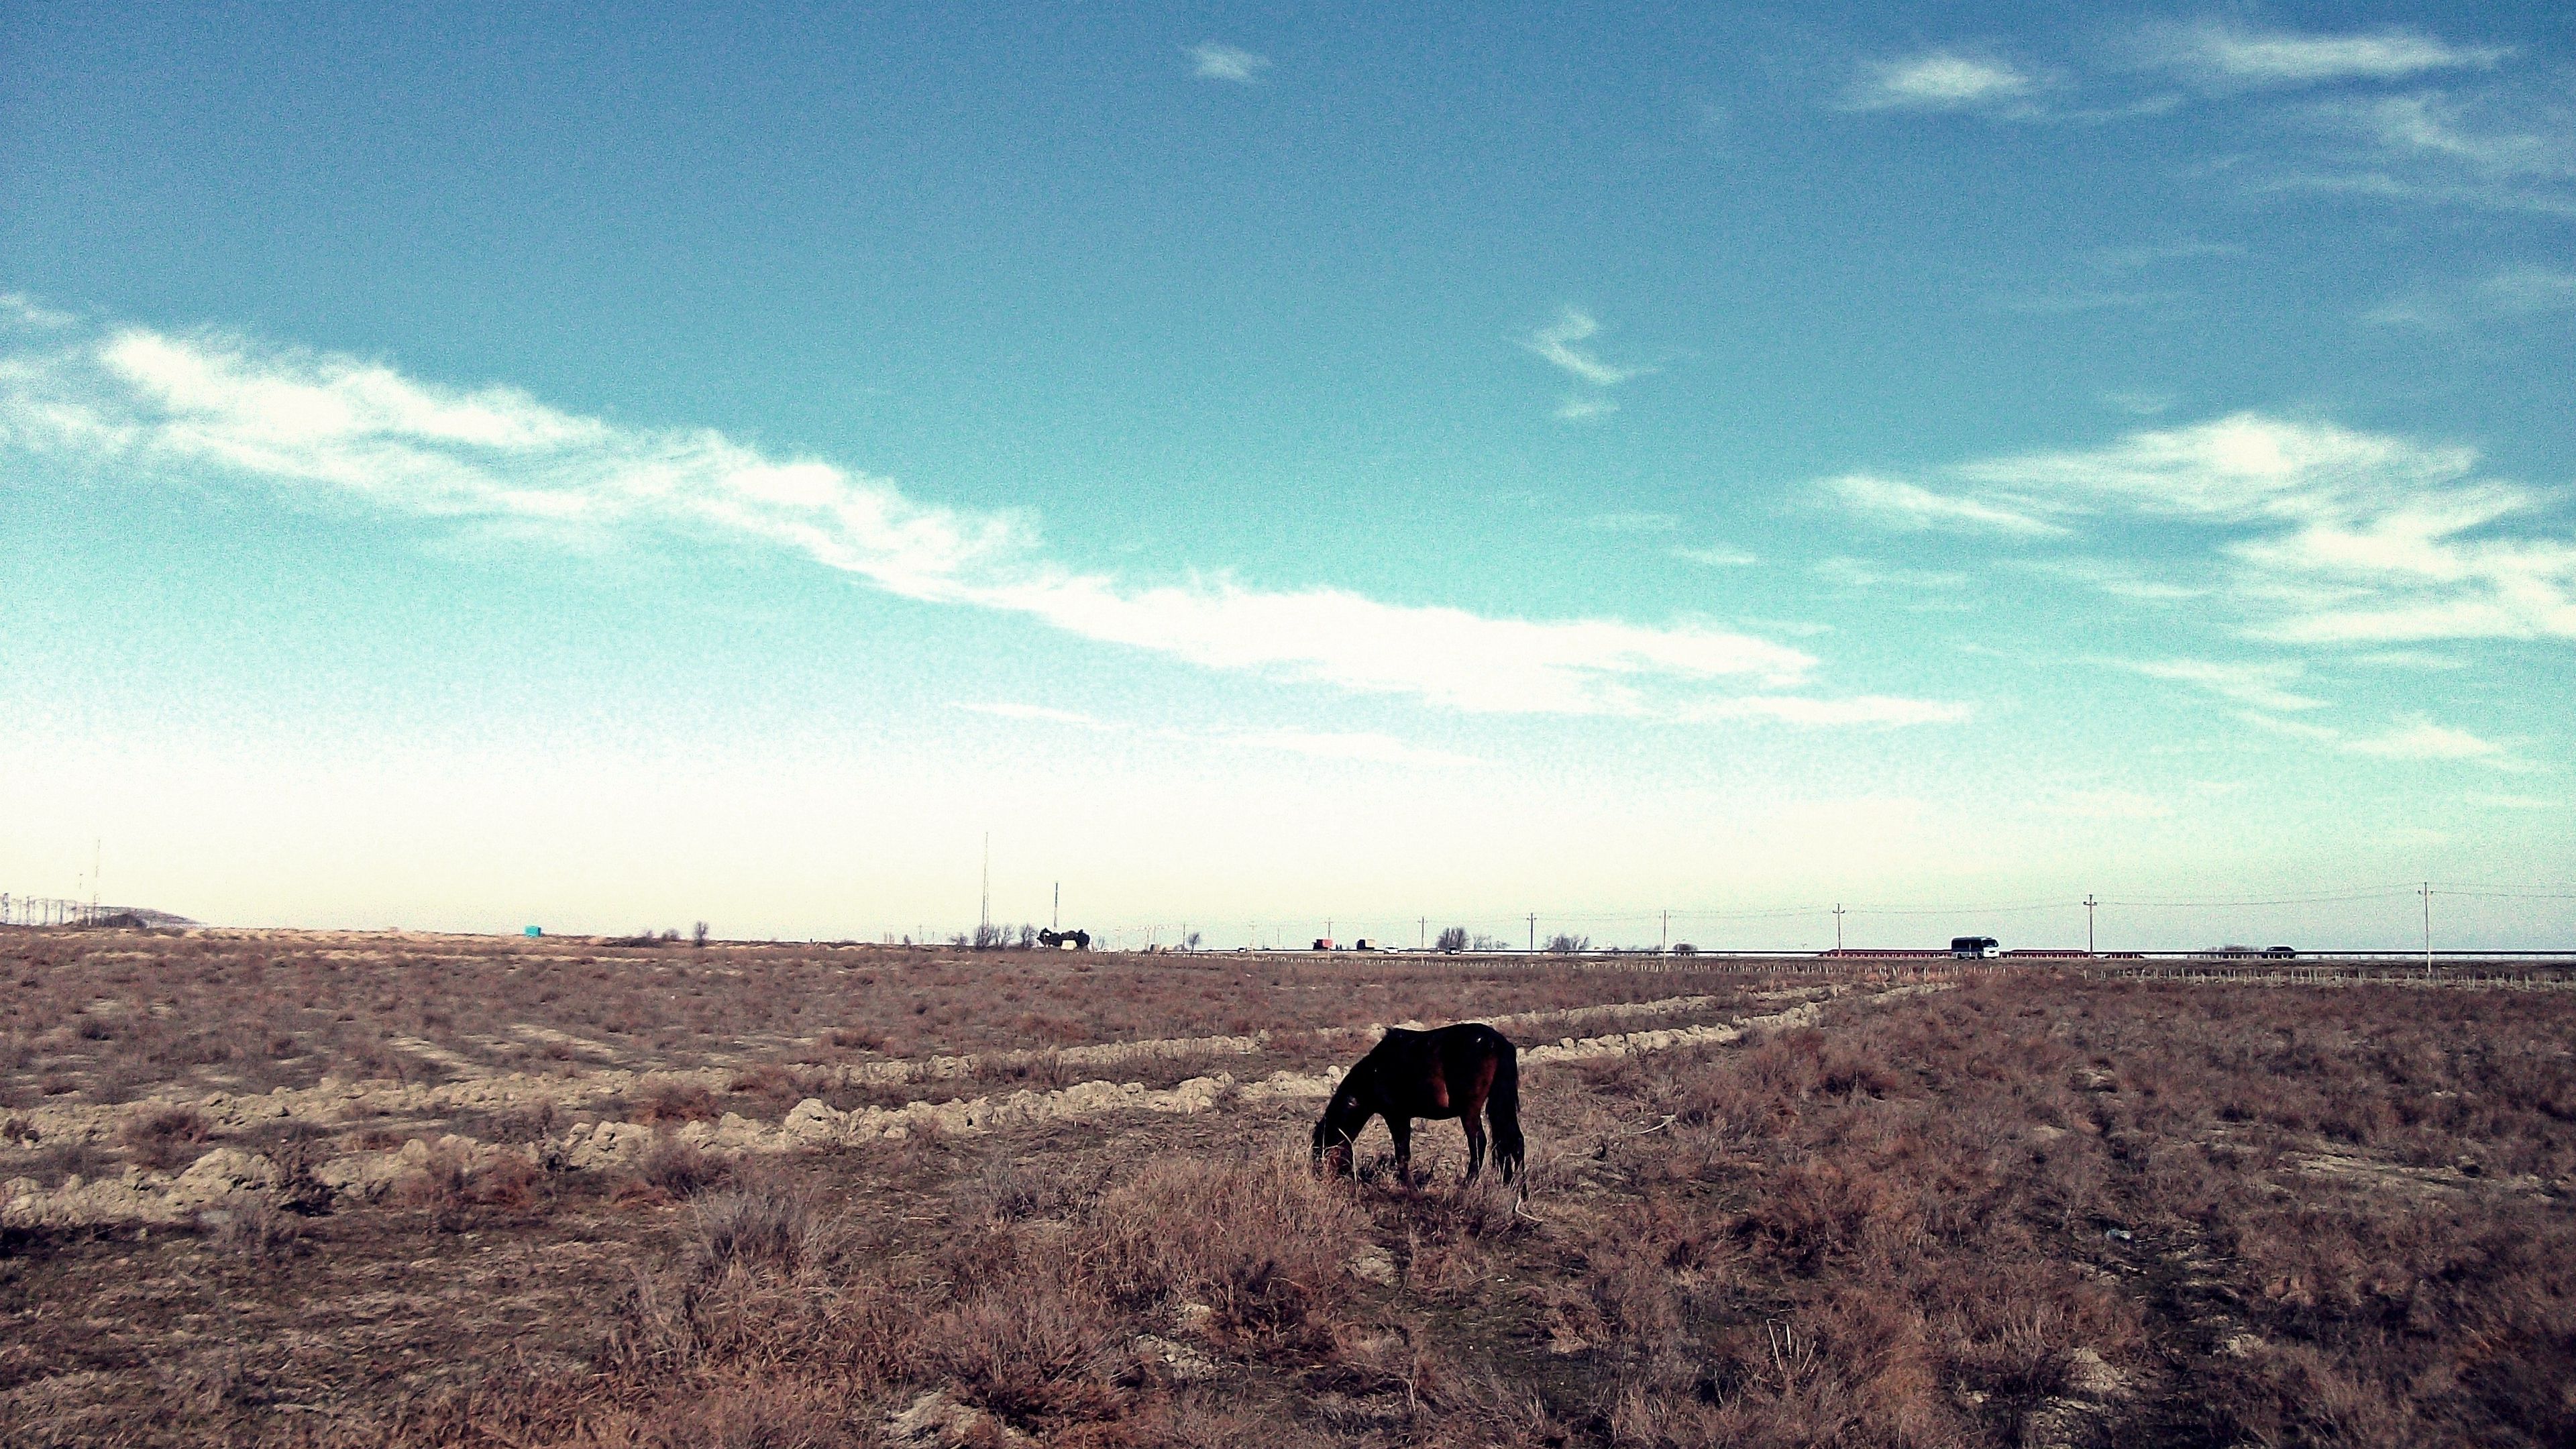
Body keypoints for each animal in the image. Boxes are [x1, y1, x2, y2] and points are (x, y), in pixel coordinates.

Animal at [1312, 1023, 1524, 1185]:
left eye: (1322, 1150)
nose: (1320, 1179)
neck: (1373, 1073)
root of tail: (1498, 1042)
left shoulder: (1396, 1116)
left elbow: (1402, 1154)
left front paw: (1408, 1186)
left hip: (1469, 1111)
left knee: (1479, 1143)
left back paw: (1468, 1185)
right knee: (1514, 1141)